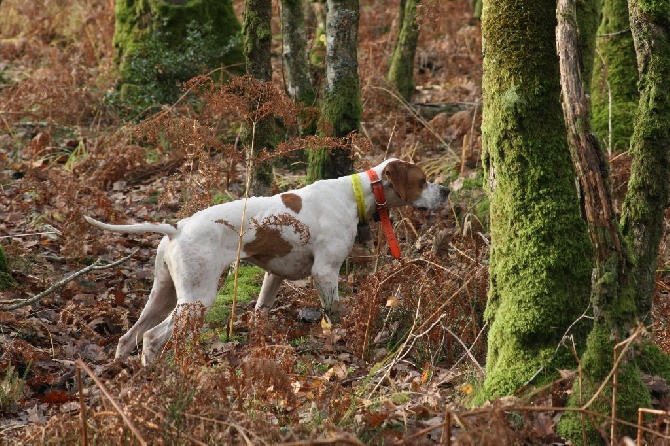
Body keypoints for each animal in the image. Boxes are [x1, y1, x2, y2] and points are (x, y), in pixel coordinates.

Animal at [85, 159, 452, 364]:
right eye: (423, 180)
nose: (447, 190)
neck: (355, 195)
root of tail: (178, 227)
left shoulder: (274, 276)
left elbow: (261, 310)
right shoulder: (325, 272)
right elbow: (334, 313)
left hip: (163, 295)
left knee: (129, 337)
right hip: (197, 299)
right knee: (151, 338)